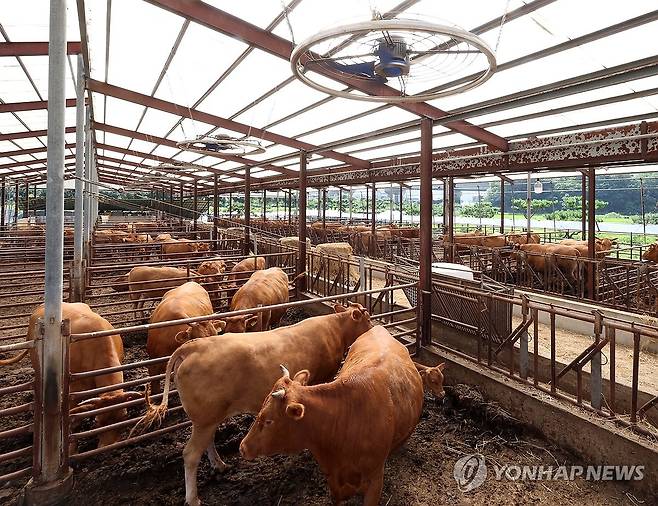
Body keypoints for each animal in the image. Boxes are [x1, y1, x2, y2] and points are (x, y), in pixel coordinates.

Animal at [132, 302, 374, 504]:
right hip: (205, 418)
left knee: (206, 441)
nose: (374, 328)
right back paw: (193, 499)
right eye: (367, 317)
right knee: (190, 454)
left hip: (208, 417)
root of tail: (192, 346)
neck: (335, 328)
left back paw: (219, 464)